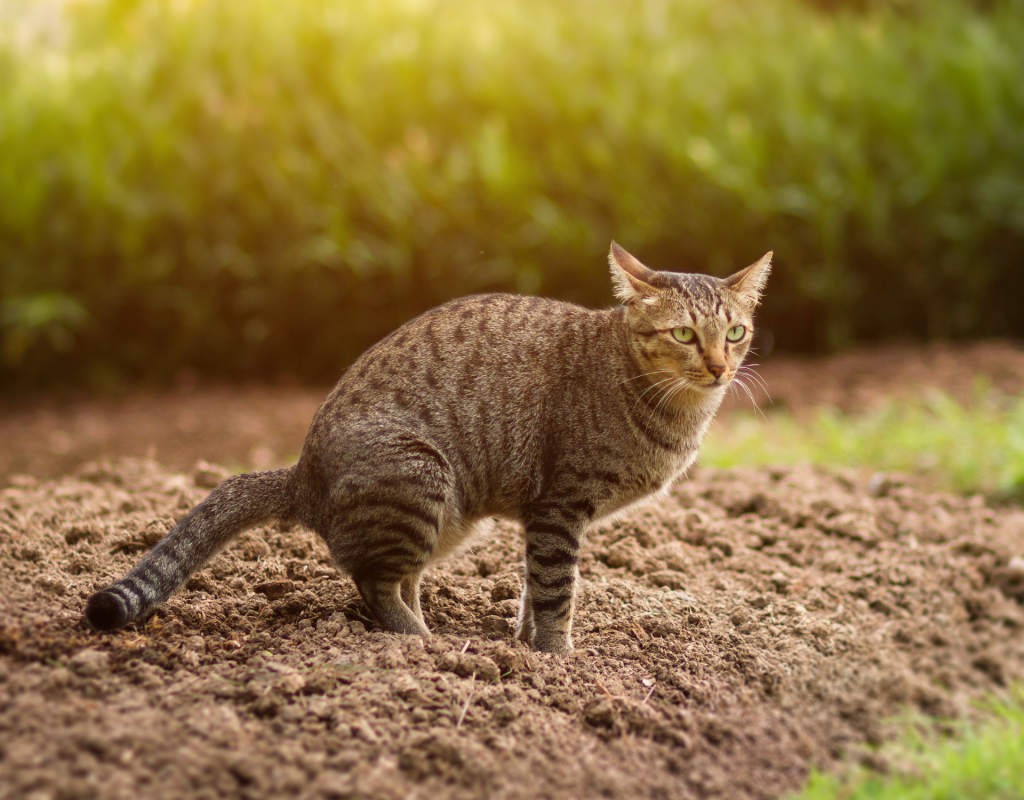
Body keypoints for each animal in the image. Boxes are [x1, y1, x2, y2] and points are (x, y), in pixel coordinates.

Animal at [86, 244, 770, 655]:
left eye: (735, 331)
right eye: (683, 334)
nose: (719, 366)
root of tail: (302, 474)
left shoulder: (544, 519)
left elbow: (532, 589)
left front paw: (524, 644)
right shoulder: (559, 508)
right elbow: (556, 590)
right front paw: (556, 658)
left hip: (447, 516)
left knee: (396, 577)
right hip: (420, 477)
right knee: (375, 584)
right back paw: (424, 646)